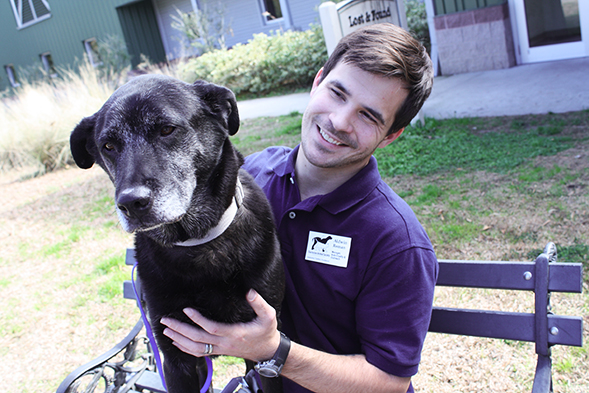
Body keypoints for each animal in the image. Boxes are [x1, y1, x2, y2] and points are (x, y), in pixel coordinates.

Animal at [70, 74, 284, 392]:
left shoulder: (263, 352)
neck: (197, 241)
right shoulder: (176, 357)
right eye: (108, 145)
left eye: (167, 129)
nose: (131, 203)